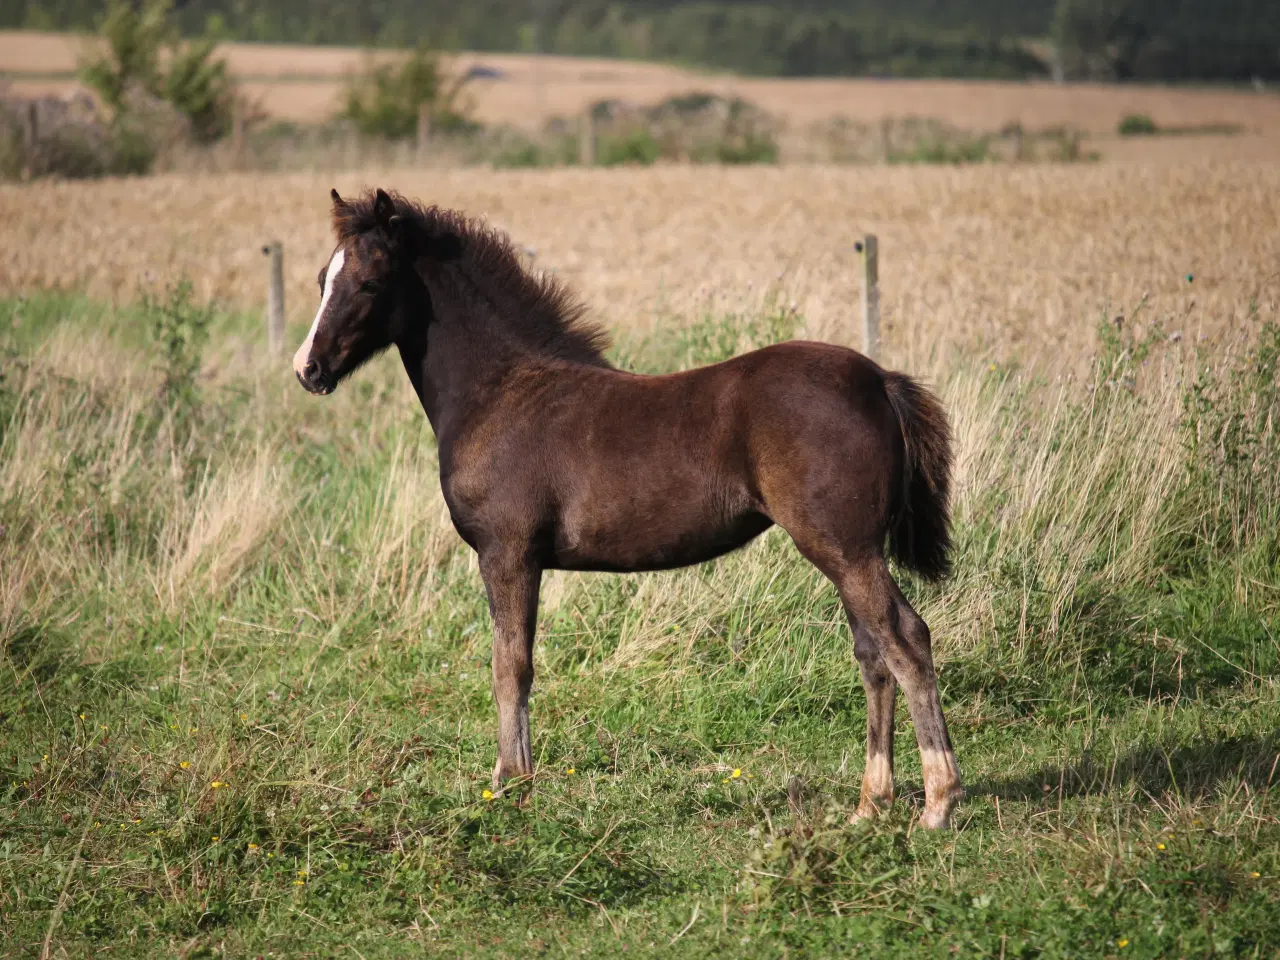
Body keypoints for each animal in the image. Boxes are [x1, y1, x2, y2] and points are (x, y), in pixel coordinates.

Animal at [293, 189, 962, 834]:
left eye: (370, 282)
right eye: (323, 278)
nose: (308, 369)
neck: (500, 392)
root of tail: (879, 379)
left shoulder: (507, 553)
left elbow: (511, 666)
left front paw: (510, 786)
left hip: (845, 548)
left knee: (906, 640)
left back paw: (938, 803)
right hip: (846, 551)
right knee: (873, 655)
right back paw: (871, 804)